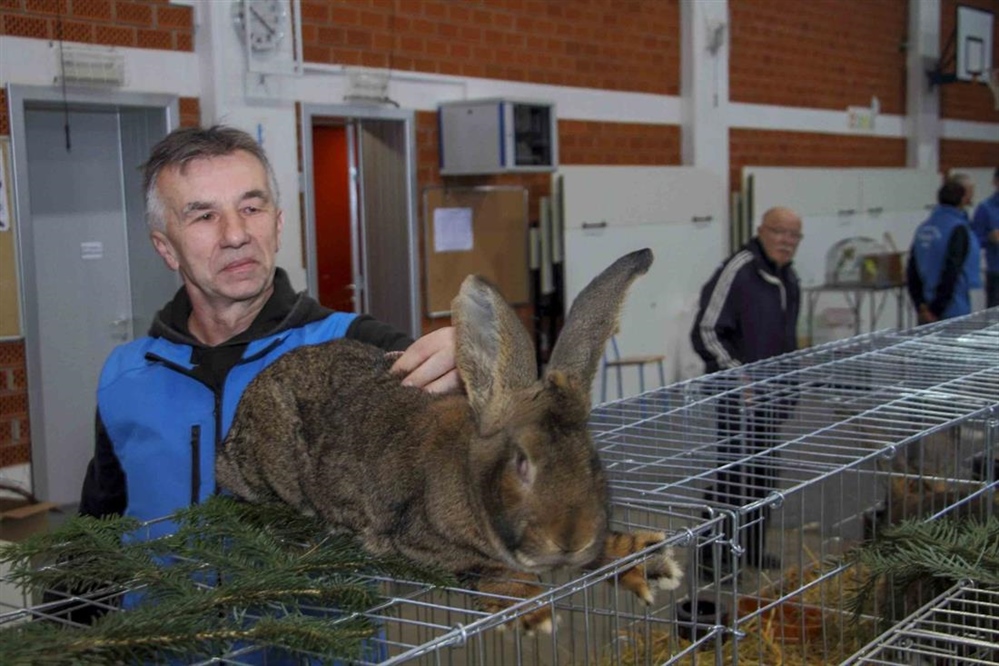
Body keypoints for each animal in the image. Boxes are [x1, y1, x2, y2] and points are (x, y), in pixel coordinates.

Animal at [218, 248, 684, 628]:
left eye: (593, 461)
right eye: (521, 463)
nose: (570, 540)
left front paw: (652, 560)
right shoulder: (418, 539)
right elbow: (481, 569)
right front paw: (531, 607)